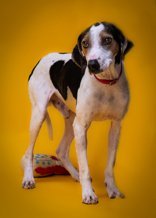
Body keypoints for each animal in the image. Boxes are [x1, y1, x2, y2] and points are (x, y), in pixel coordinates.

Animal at [21, 21, 133, 204]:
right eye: (85, 44)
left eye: (107, 40)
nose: (92, 65)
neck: (105, 83)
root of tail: (41, 59)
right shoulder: (81, 126)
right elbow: (85, 167)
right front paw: (88, 194)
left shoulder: (116, 126)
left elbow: (110, 166)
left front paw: (113, 190)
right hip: (39, 115)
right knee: (28, 152)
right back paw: (28, 179)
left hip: (71, 119)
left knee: (60, 151)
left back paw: (75, 175)